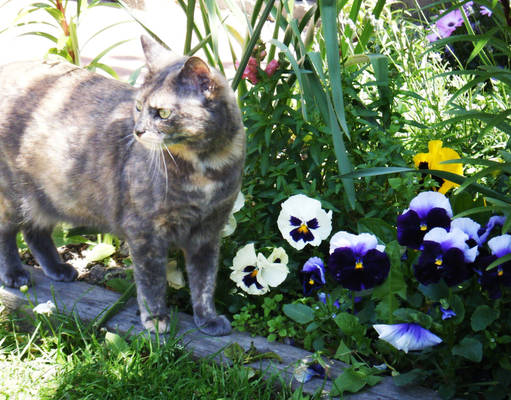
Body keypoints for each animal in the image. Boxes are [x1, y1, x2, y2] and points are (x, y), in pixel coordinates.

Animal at [0, 36, 246, 338]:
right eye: (139, 106)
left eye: (163, 113)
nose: (137, 130)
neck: (205, 169)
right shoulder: (145, 232)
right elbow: (151, 281)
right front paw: (156, 319)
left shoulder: (208, 232)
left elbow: (204, 281)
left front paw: (208, 318)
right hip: (13, 194)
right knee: (7, 232)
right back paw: (14, 274)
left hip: (48, 196)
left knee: (35, 230)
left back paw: (58, 268)